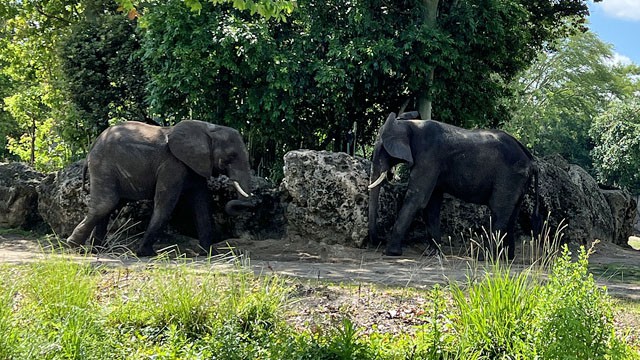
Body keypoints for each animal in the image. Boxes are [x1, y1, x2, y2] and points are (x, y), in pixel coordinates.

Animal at [66, 120, 254, 256]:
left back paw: (97, 250)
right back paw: (74, 245)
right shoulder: (172, 165)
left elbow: (201, 204)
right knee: (106, 204)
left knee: (108, 207)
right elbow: (166, 203)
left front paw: (210, 254)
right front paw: (147, 254)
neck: (207, 128)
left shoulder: (195, 166)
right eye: (231, 157)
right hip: (103, 165)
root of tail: (91, 148)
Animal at [364, 112, 540, 258]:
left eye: (380, 148)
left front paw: (390, 253)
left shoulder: (429, 157)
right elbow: (431, 204)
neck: (409, 124)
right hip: (518, 180)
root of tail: (530, 159)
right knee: (512, 214)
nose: (377, 241)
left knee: (499, 211)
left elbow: (416, 199)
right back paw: (506, 258)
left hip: (509, 177)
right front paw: (432, 254)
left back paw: (486, 257)